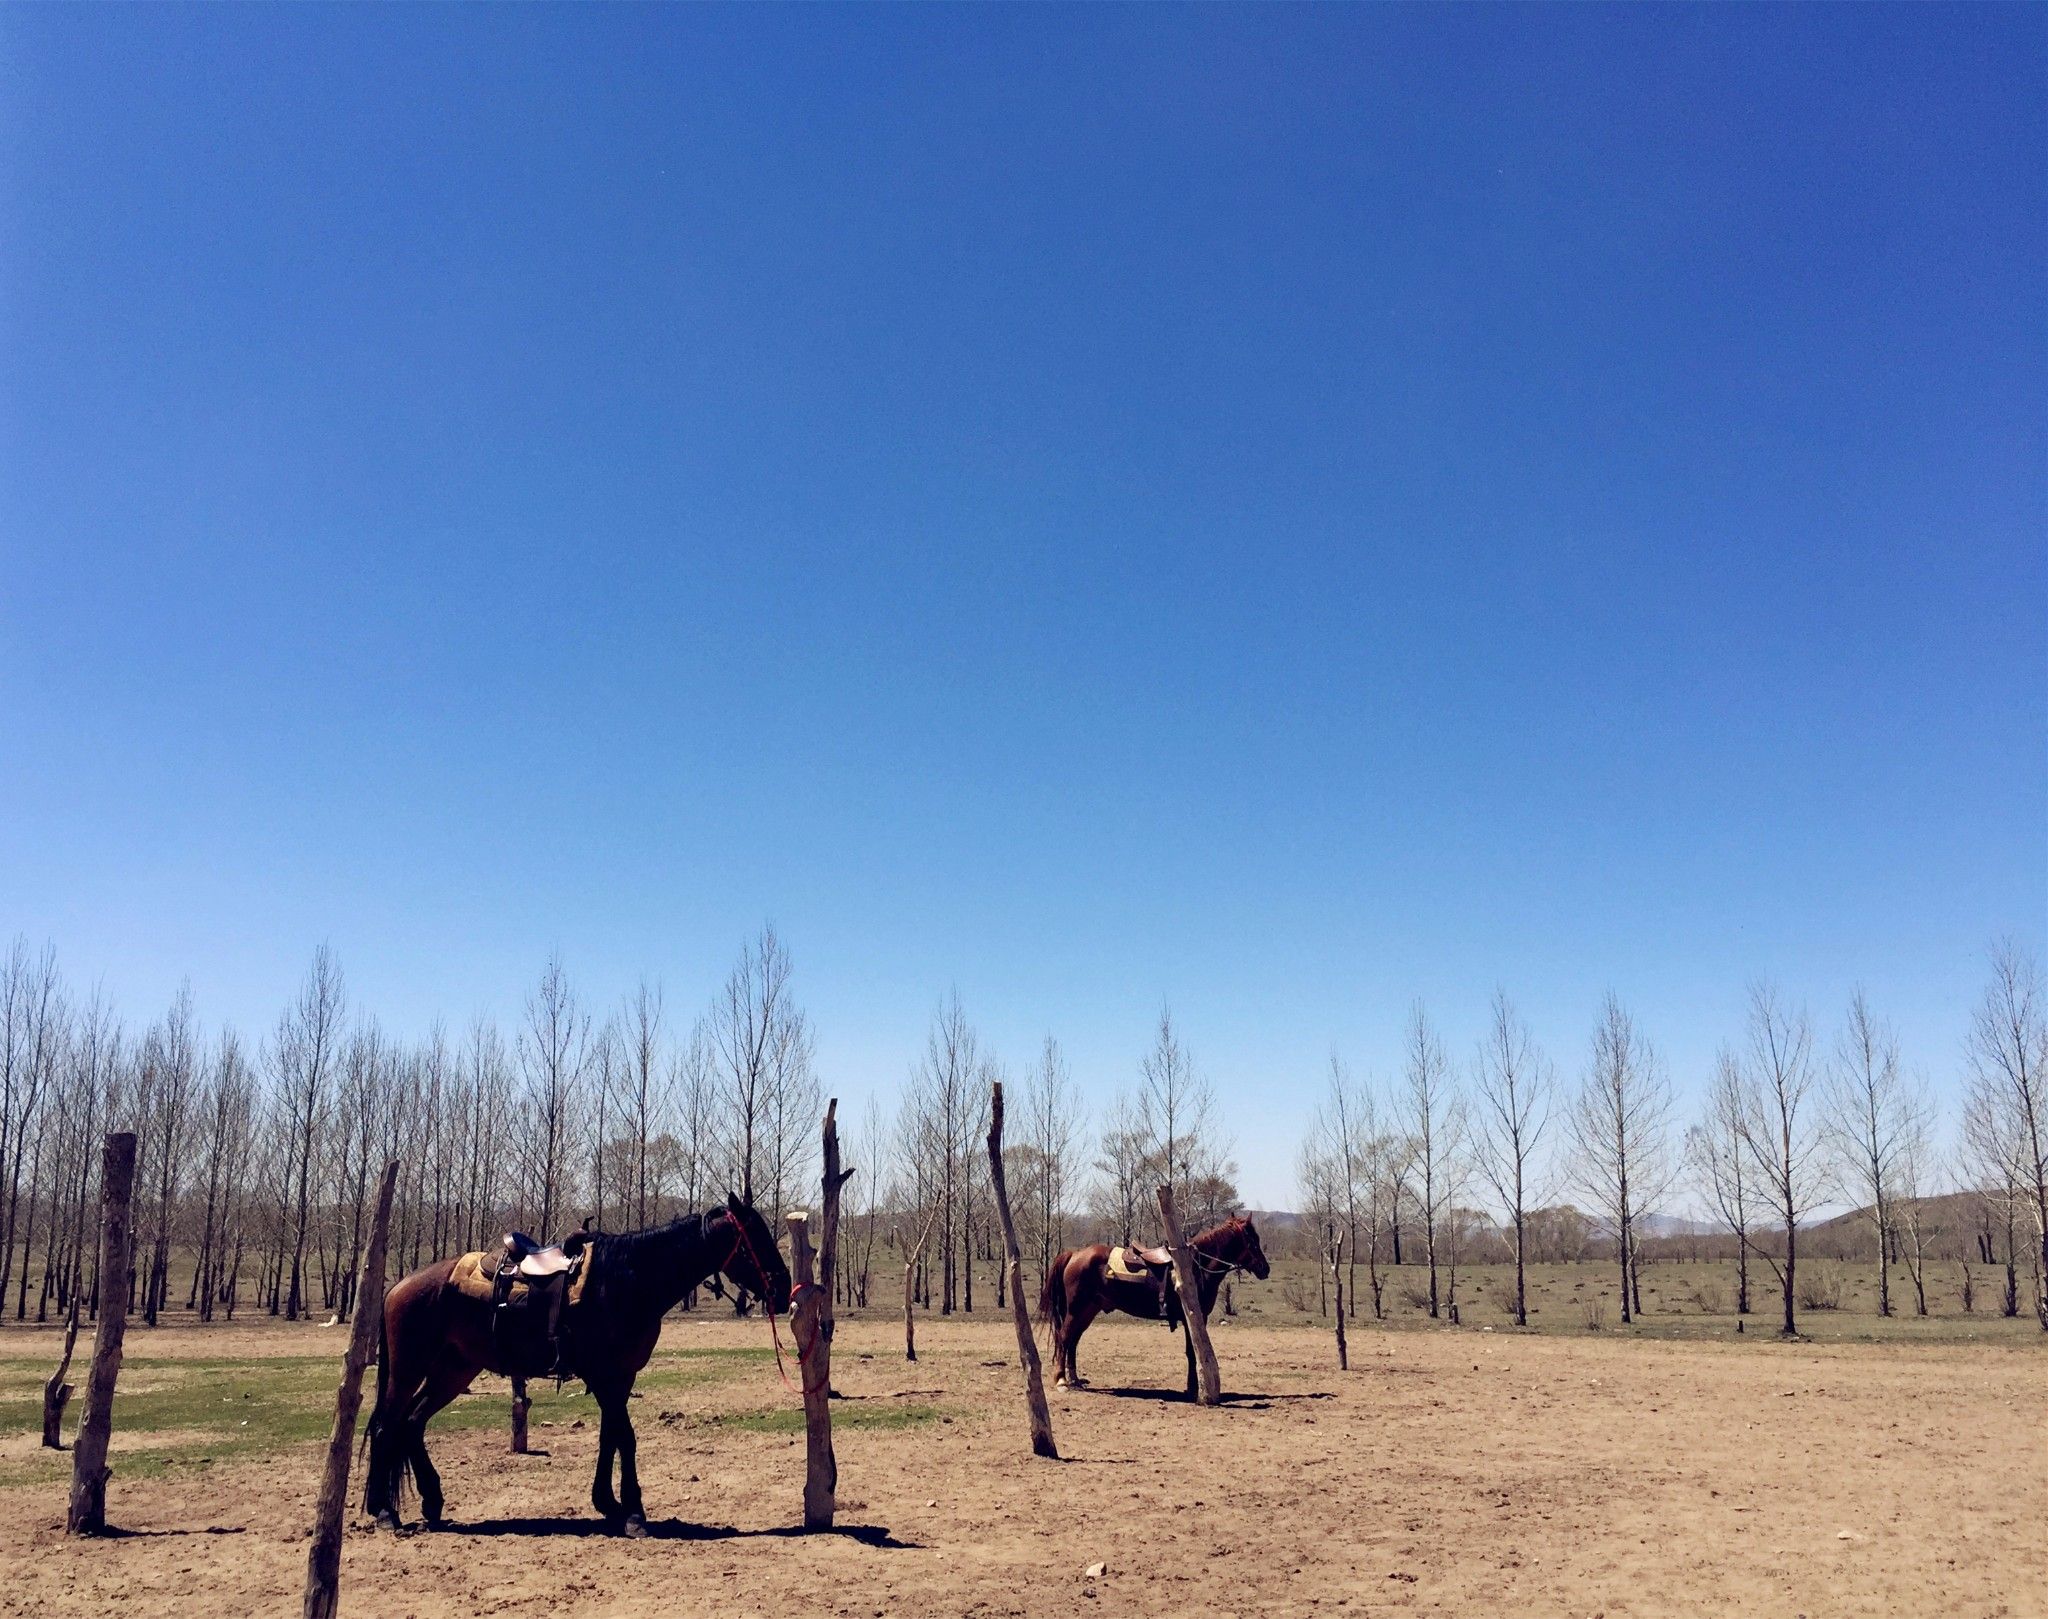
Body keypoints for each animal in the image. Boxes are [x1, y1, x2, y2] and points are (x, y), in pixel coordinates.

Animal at [363, 1193, 791, 1536]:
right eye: (755, 1237)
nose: (784, 1287)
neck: (628, 1279)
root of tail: (398, 1287)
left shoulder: (620, 1377)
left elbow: (610, 1436)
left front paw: (609, 1503)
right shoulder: (604, 1376)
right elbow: (625, 1437)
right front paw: (634, 1513)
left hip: (453, 1370)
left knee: (412, 1423)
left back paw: (432, 1502)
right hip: (409, 1369)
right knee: (387, 1426)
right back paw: (384, 1512)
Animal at [1037, 1214, 1269, 1398]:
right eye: (1253, 1240)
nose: (1265, 1268)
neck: (1196, 1267)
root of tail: (1074, 1254)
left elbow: (1191, 1352)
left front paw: (1191, 1387)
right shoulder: (1193, 1317)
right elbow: (1192, 1352)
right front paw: (1193, 1388)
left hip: (1088, 1310)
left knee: (1073, 1340)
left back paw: (1075, 1380)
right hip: (1076, 1309)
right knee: (1064, 1337)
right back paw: (1062, 1381)